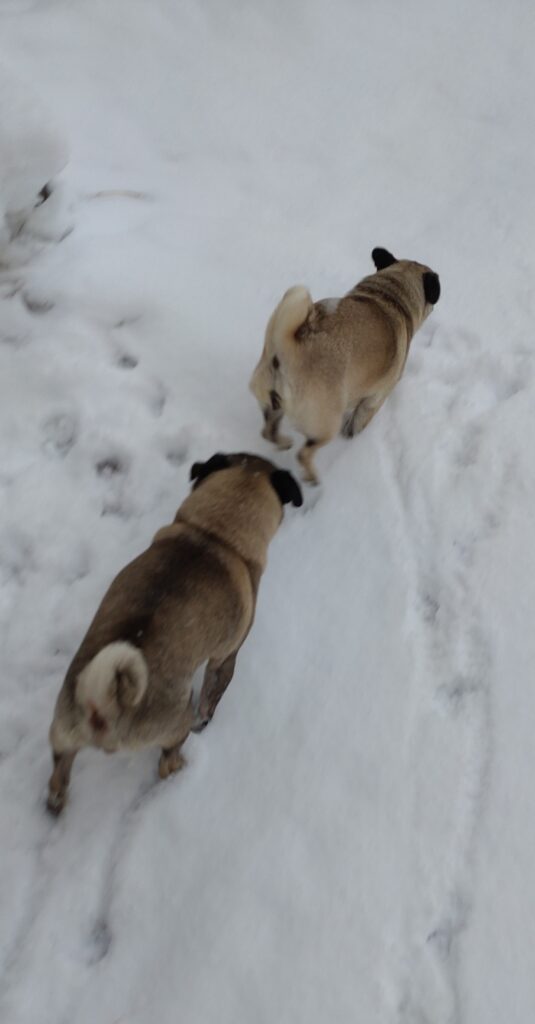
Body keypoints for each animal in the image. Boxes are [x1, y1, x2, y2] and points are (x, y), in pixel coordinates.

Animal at [46, 452, 299, 811]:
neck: (215, 534)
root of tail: (104, 705)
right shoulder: (225, 658)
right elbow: (212, 695)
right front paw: (206, 722)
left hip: (64, 735)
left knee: (58, 777)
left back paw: (56, 801)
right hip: (175, 724)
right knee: (167, 760)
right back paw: (182, 770)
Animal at [249, 249, 436, 485]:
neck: (390, 294)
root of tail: (290, 348)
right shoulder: (375, 399)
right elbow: (358, 421)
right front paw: (352, 437)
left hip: (272, 405)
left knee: (268, 432)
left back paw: (283, 442)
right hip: (325, 423)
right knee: (305, 453)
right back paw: (312, 477)